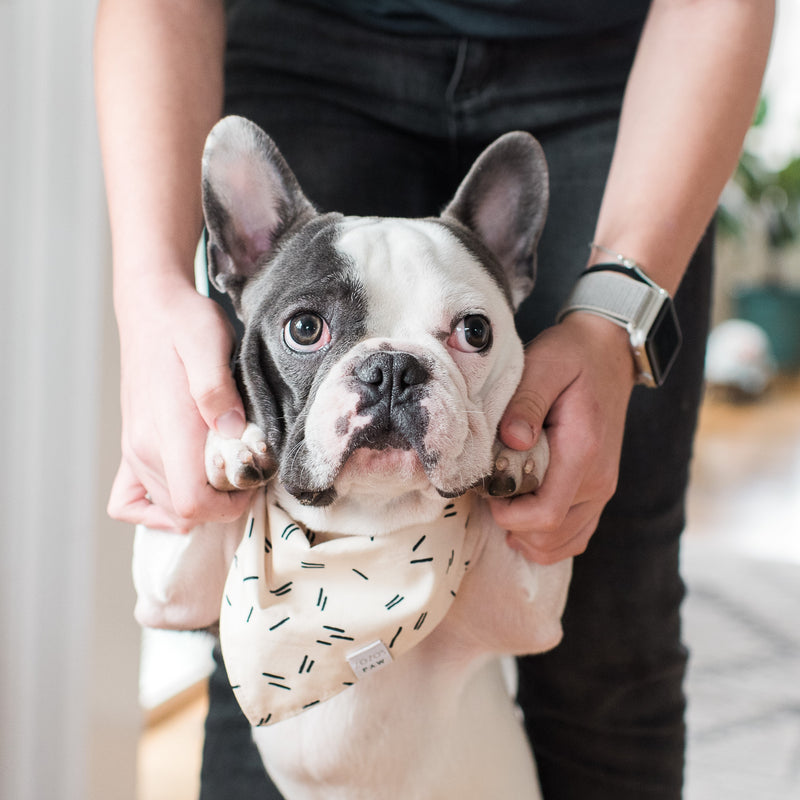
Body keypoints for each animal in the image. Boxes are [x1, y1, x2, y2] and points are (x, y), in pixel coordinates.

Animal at [134, 119, 572, 800]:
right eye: (305, 329)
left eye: (476, 332)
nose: (392, 368)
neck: (362, 528)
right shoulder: (170, 593)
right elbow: (195, 529)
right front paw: (230, 442)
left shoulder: (526, 609)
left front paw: (517, 452)